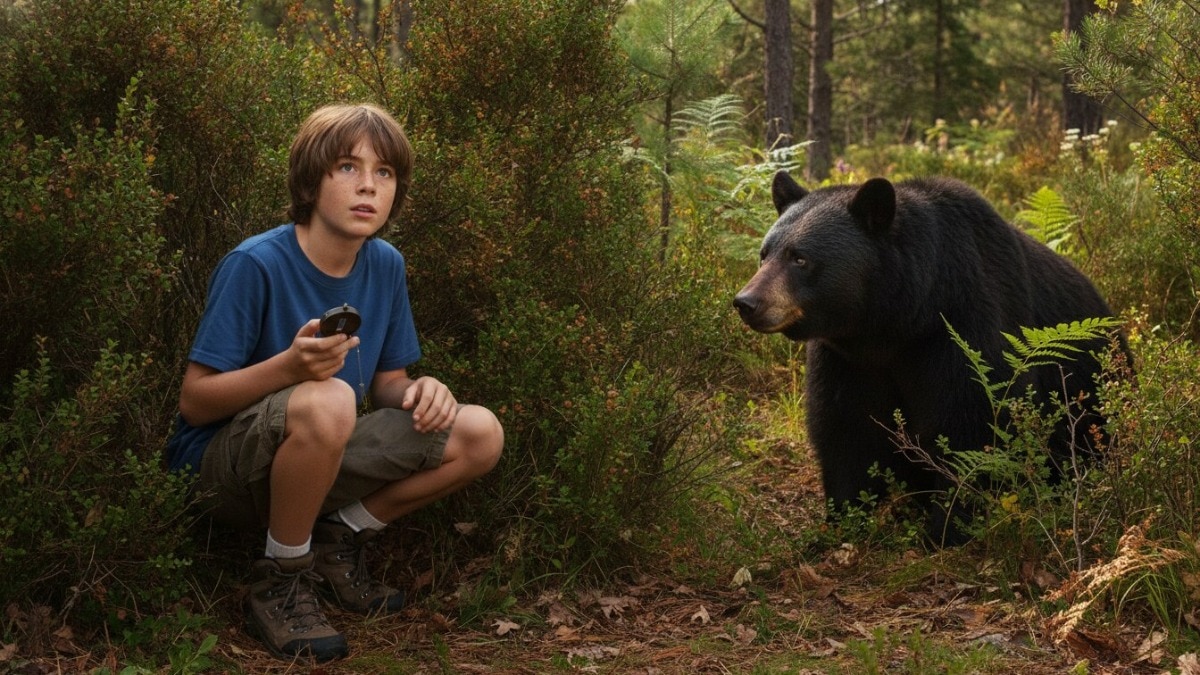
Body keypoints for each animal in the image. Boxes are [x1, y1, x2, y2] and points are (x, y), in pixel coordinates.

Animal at [732, 171, 1127, 545]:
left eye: (800, 258)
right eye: (765, 253)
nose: (746, 302)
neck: (896, 323)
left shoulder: (962, 329)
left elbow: (971, 425)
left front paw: (947, 528)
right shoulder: (847, 359)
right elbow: (845, 427)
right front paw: (841, 521)